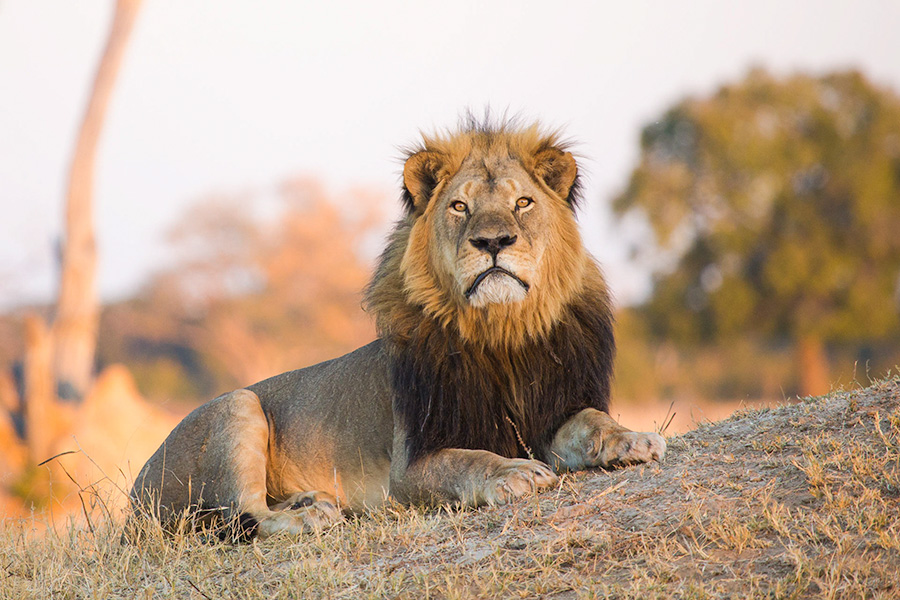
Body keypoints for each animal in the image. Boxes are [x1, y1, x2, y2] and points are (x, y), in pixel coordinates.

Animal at [129, 117, 666, 539]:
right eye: (459, 207)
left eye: (523, 203)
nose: (494, 241)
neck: (501, 333)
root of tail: (134, 497)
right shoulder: (411, 465)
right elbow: (470, 459)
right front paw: (512, 471)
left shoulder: (555, 410)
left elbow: (592, 421)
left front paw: (633, 439)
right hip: (237, 404)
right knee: (250, 515)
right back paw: (310, 515)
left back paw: (308, 500)